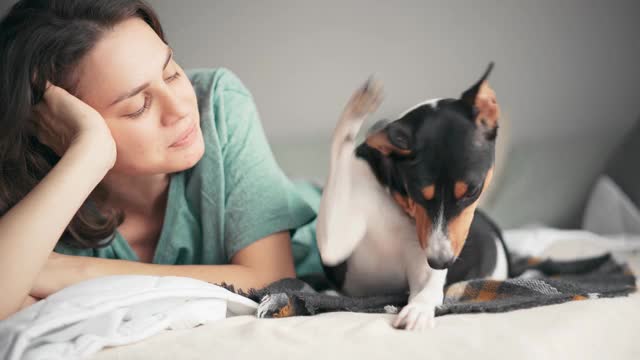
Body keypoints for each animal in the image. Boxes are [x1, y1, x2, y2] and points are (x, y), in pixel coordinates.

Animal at [316, 63, 510, 330]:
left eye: (472, 191)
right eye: (418, 192)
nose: (441, 262)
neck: (394, 200)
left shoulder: (424, 267)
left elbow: (427, 292)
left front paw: (417, 311)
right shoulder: (335, 243)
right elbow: (341, 142)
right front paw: (358, 106)